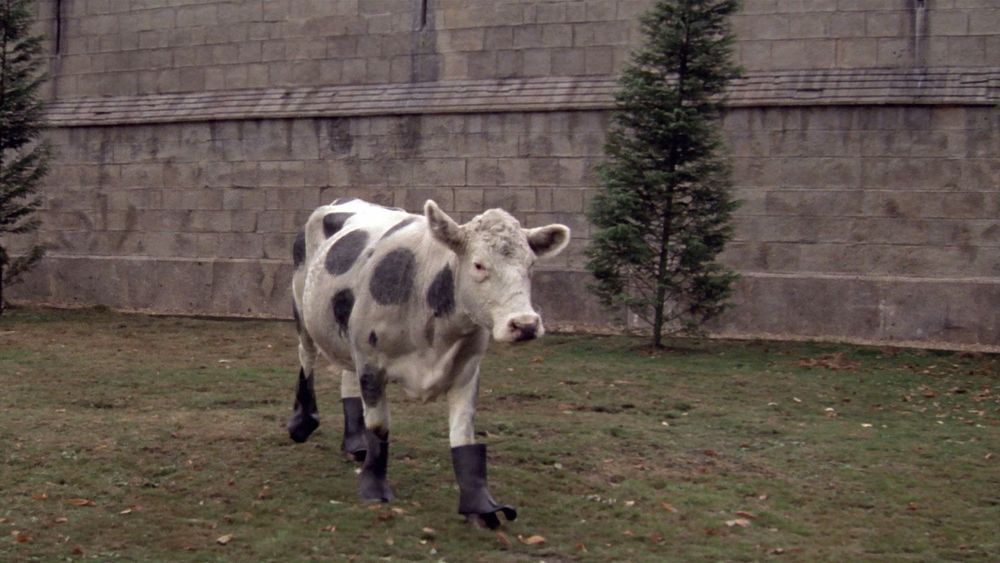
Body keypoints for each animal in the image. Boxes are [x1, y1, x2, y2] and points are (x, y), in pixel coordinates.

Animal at [287, 197, 570, 528]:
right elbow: (379, 426)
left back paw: (355, 443)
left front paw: (480, 506)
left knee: (347, 376)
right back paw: (302, 423)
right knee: (306, 357)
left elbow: (463, 434)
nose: (525, 324)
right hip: (302, 311)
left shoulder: (467, 369)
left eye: (531, 265)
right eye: (478, 265)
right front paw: (374, 488)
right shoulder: (371, 362)